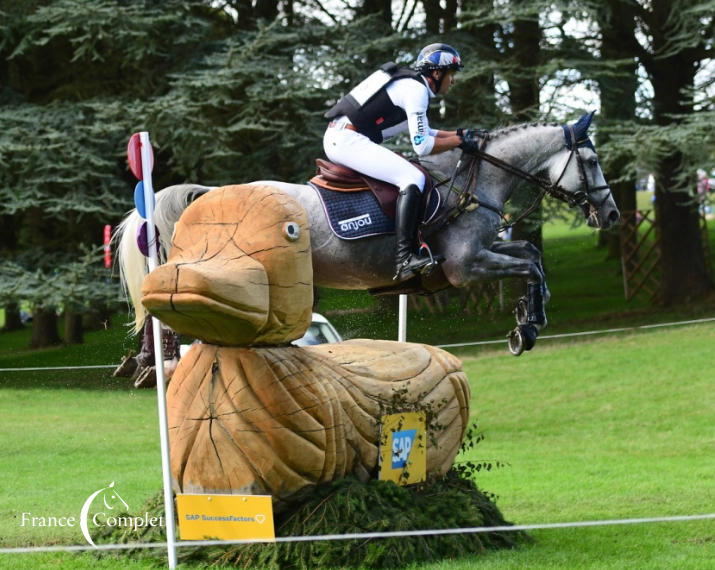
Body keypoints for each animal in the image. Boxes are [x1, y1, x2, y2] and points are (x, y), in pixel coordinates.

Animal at [117, 114, 620, 356]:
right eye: (593, 161)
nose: (612, 214)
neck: (475, 180)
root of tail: (211, 195)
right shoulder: (465, 266)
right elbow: (529, 265)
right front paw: (527, 325)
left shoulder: (481, 251)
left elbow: (530, 253)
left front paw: (531, 312)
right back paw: (148, 360)